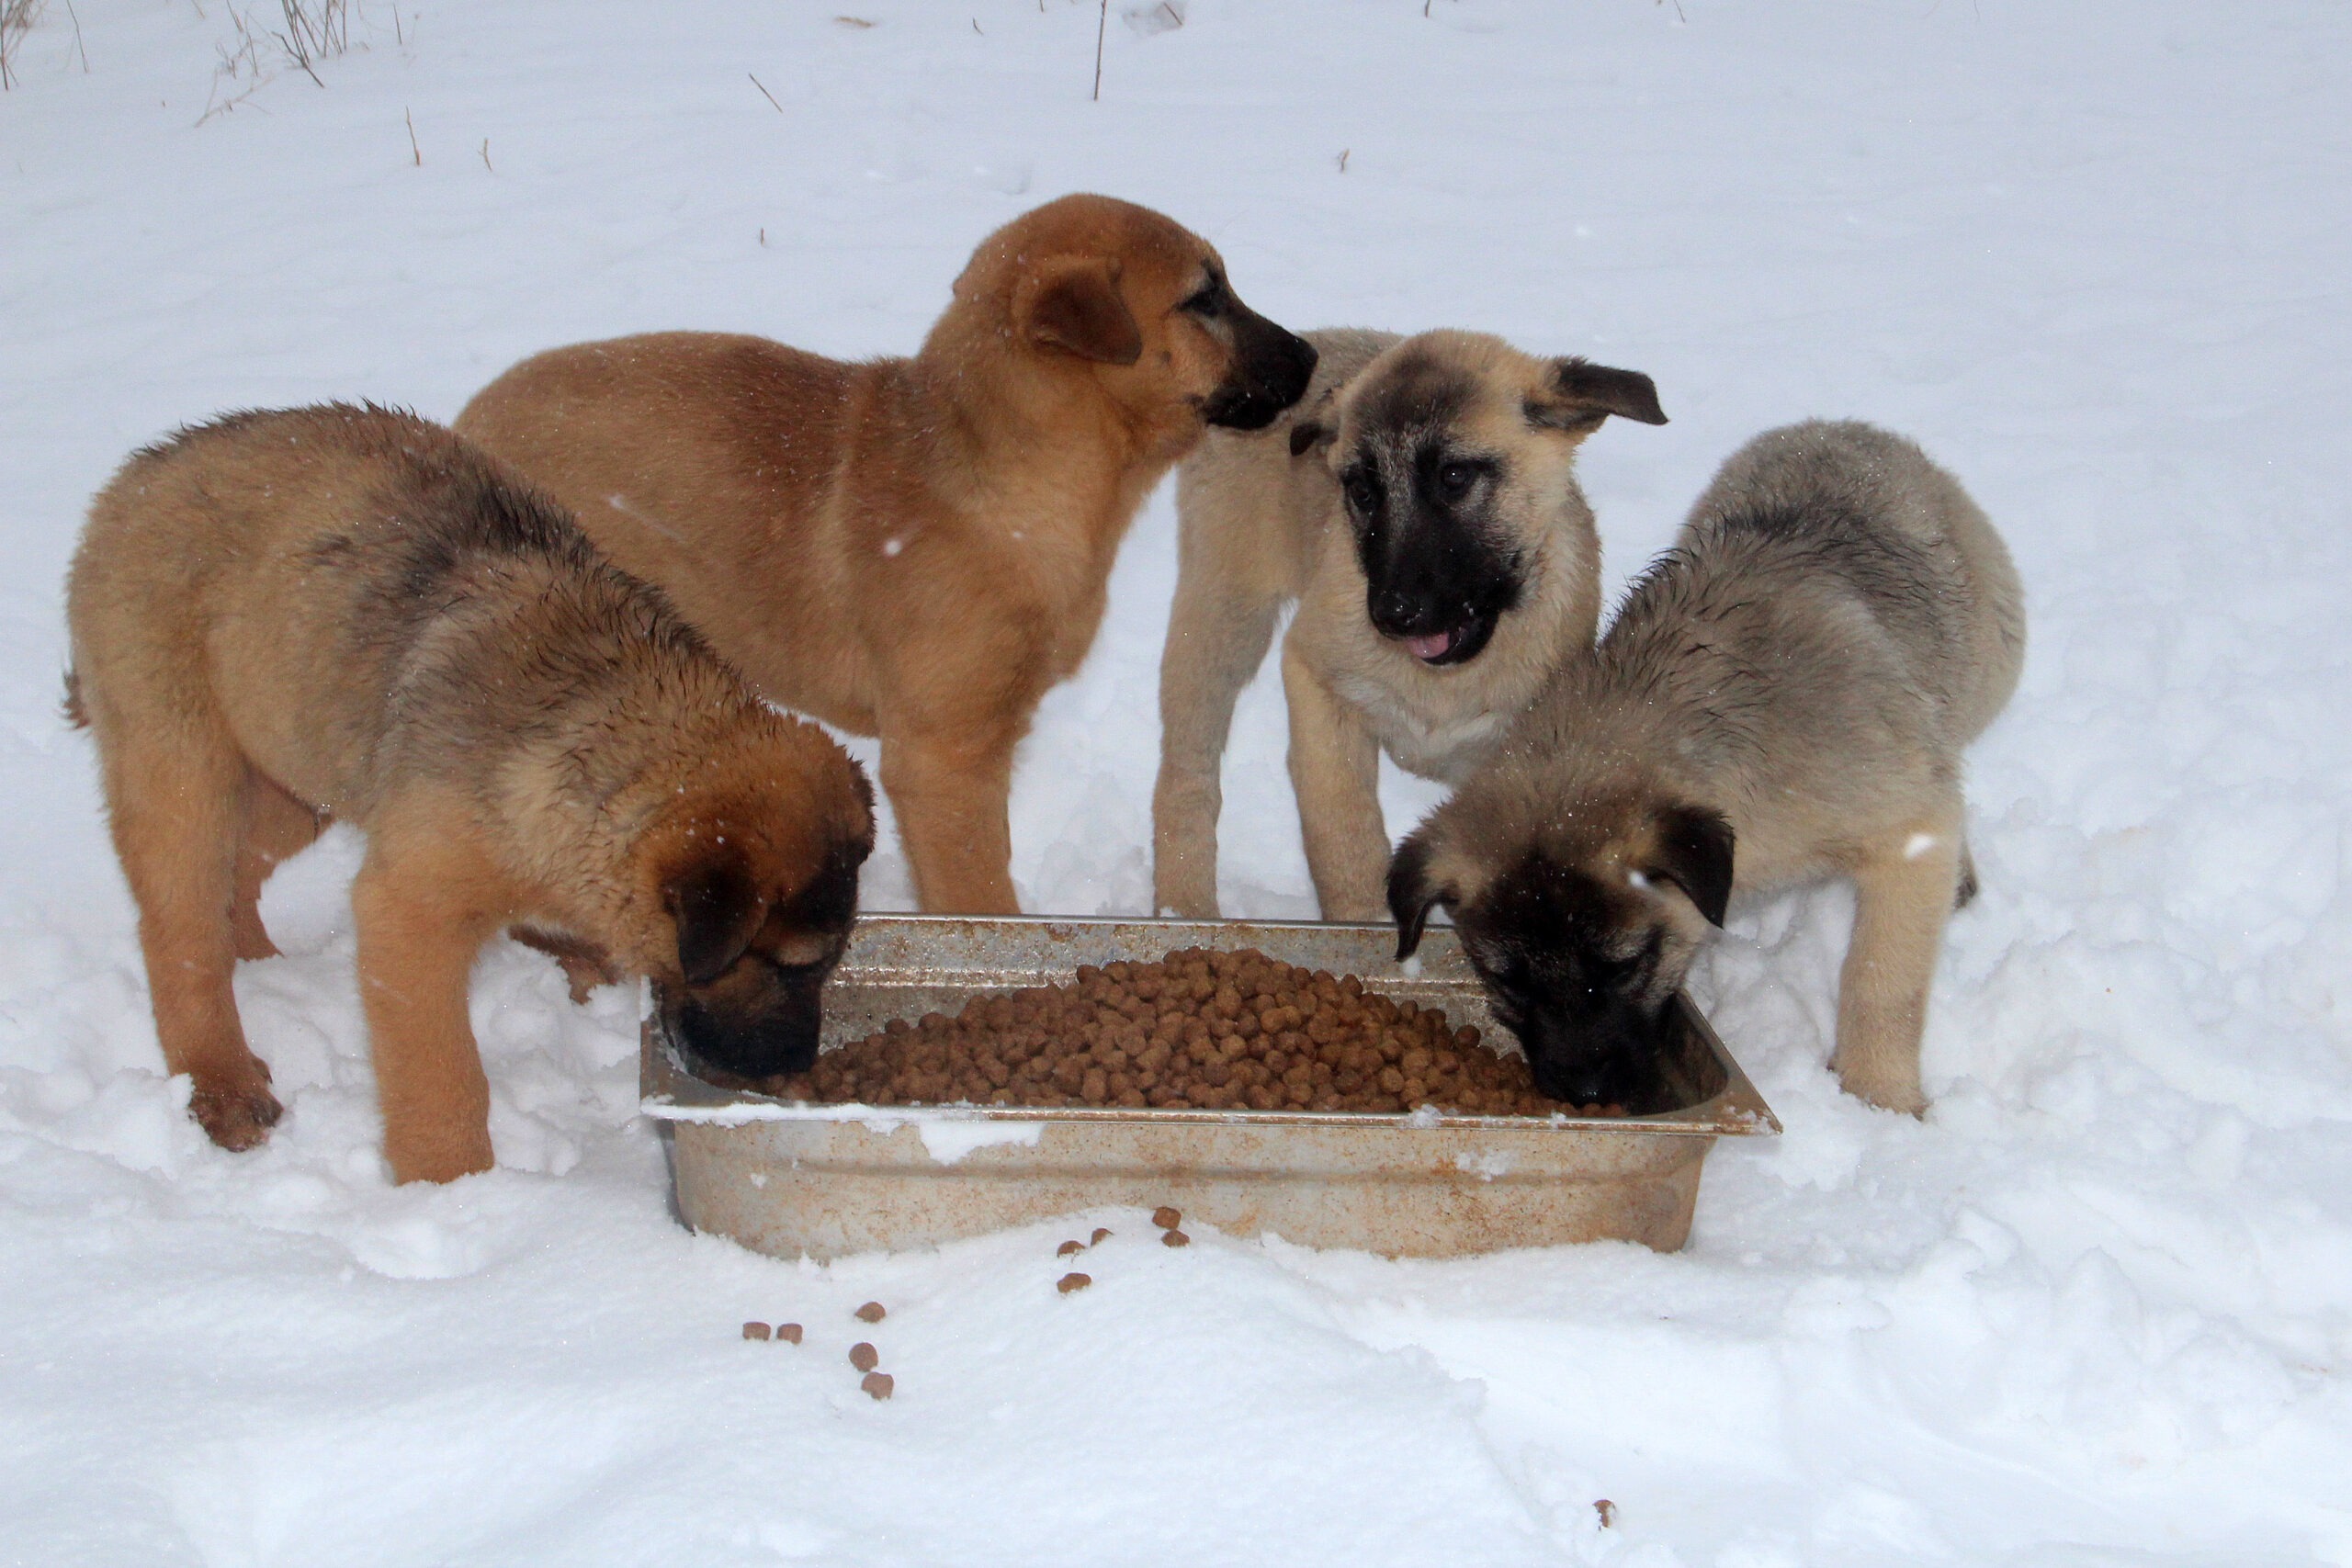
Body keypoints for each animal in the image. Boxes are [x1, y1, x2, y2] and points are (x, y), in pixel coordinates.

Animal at [78, 404, 884, 1175]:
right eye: (788, 964)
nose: (792, 1067)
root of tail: (140, 470)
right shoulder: (410, 909)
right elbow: (442, 1073)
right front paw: (452, 1183)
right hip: (180, 758)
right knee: (179, 931)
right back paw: (224, 1086)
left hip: (296, 759)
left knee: (237, 872)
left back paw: (261, 964)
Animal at [448, 190, 1317, 911]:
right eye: (1204, 298)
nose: (1312, 357)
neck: (1011, 475)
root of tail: (467, 421)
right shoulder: (941, 759)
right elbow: (980, 898)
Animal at [1148, 329, 1665, 921]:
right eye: (1361, 493)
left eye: (1455, 477)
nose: (1392, 614)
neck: (1448, 680)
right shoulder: (1318, 686)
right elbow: (1345, 837)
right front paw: (1367, 925)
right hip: (1223, 612)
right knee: (1188, 775)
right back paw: (1183, 907)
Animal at [1383, 415, 2031, 1114]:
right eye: (1507, 981)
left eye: (1625, 964)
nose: (1585, 1092)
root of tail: (1846, 427)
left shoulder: (1906, 833)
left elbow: (1883, 982)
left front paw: (1879, 1099)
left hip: (1978, 679)